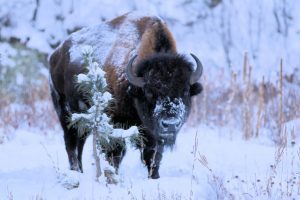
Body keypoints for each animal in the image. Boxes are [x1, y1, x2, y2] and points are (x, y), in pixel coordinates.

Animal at [49, 12, 203, 178]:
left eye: (185, 91)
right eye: (149, 92)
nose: (170, 124)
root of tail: (55, 55)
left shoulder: (152, 135)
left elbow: (153, 157)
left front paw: (154, 177)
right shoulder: (115, 124)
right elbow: (115, 153)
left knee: (80, 144)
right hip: (67, 114)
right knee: (71, 143)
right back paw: (76, 171)